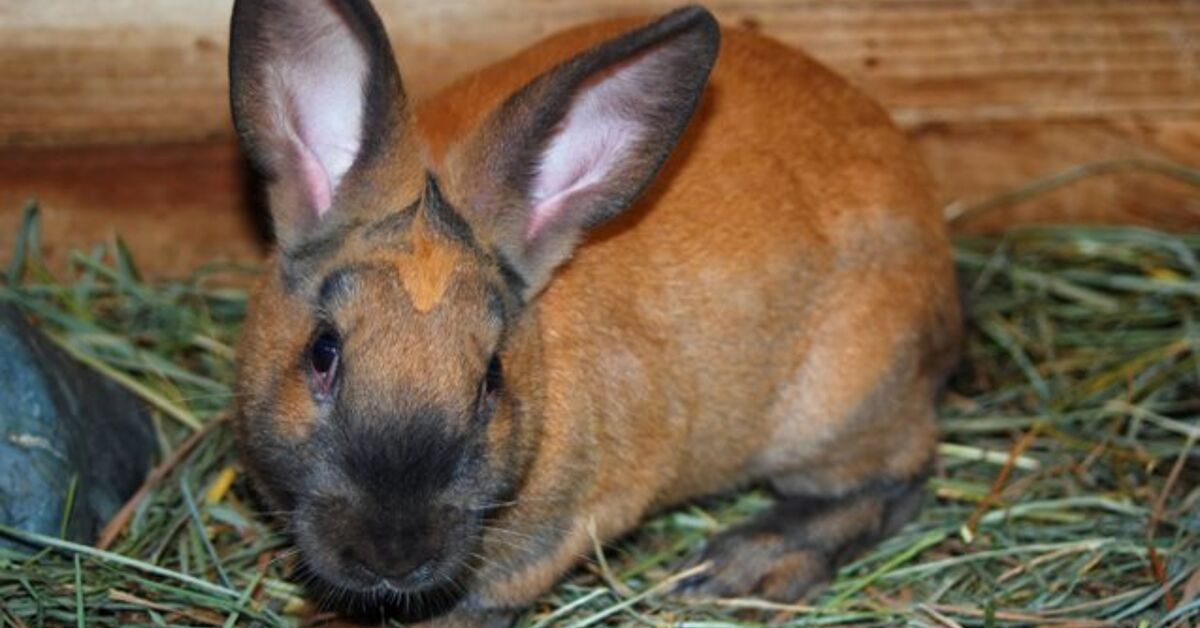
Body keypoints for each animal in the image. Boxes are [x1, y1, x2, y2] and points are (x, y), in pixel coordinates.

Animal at [229, 0, 962, 624]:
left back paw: (747, 562)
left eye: (491, 379)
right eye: (322, 352)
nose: (393, 554)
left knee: (895, 484)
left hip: (839, 408)